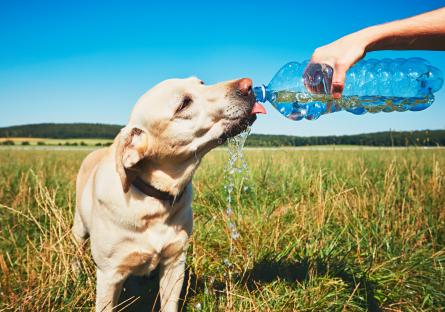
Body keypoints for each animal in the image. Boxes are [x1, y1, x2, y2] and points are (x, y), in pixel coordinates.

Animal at [72, 77, 264, 310]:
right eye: (184, 104)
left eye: (201, 83)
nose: (248, 85)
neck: (154, 201)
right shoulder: (109, 274)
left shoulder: (175, 262)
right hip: (79, 228)